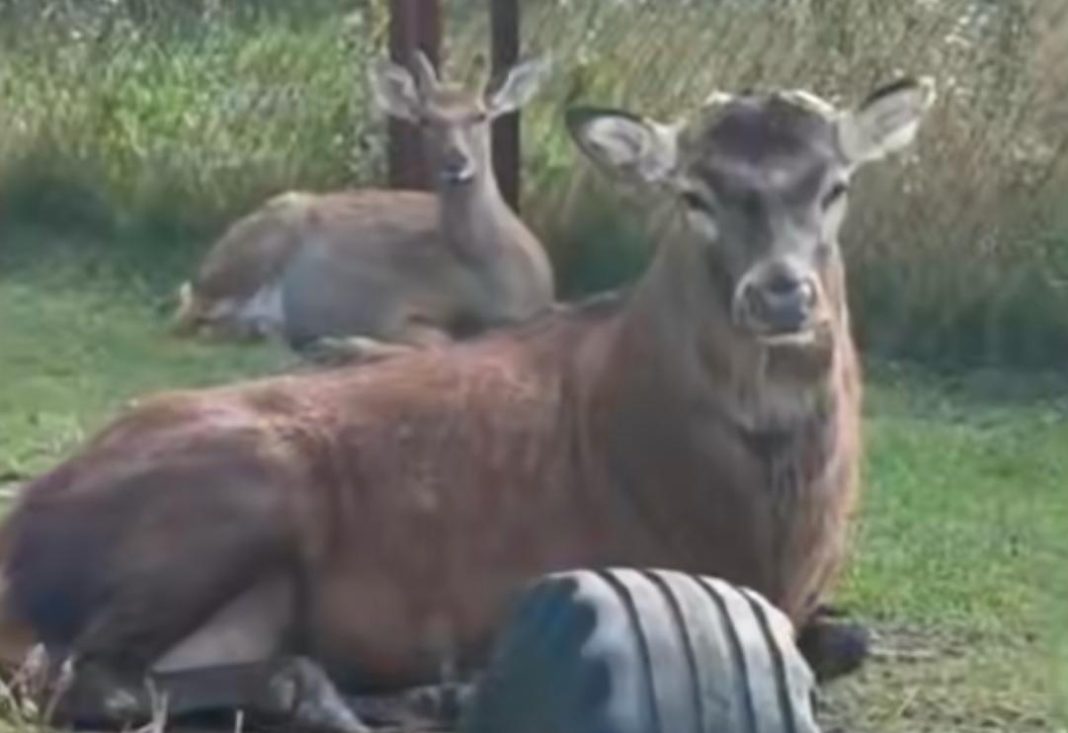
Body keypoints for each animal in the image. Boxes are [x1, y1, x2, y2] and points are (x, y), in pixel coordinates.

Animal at [171, 51, 555, 364]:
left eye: (480, 115)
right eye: (425, 119)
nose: (456, 161)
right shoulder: (394, 308)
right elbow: (437, 342)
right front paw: (340, 346)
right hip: (257, 246)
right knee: (186, 317)